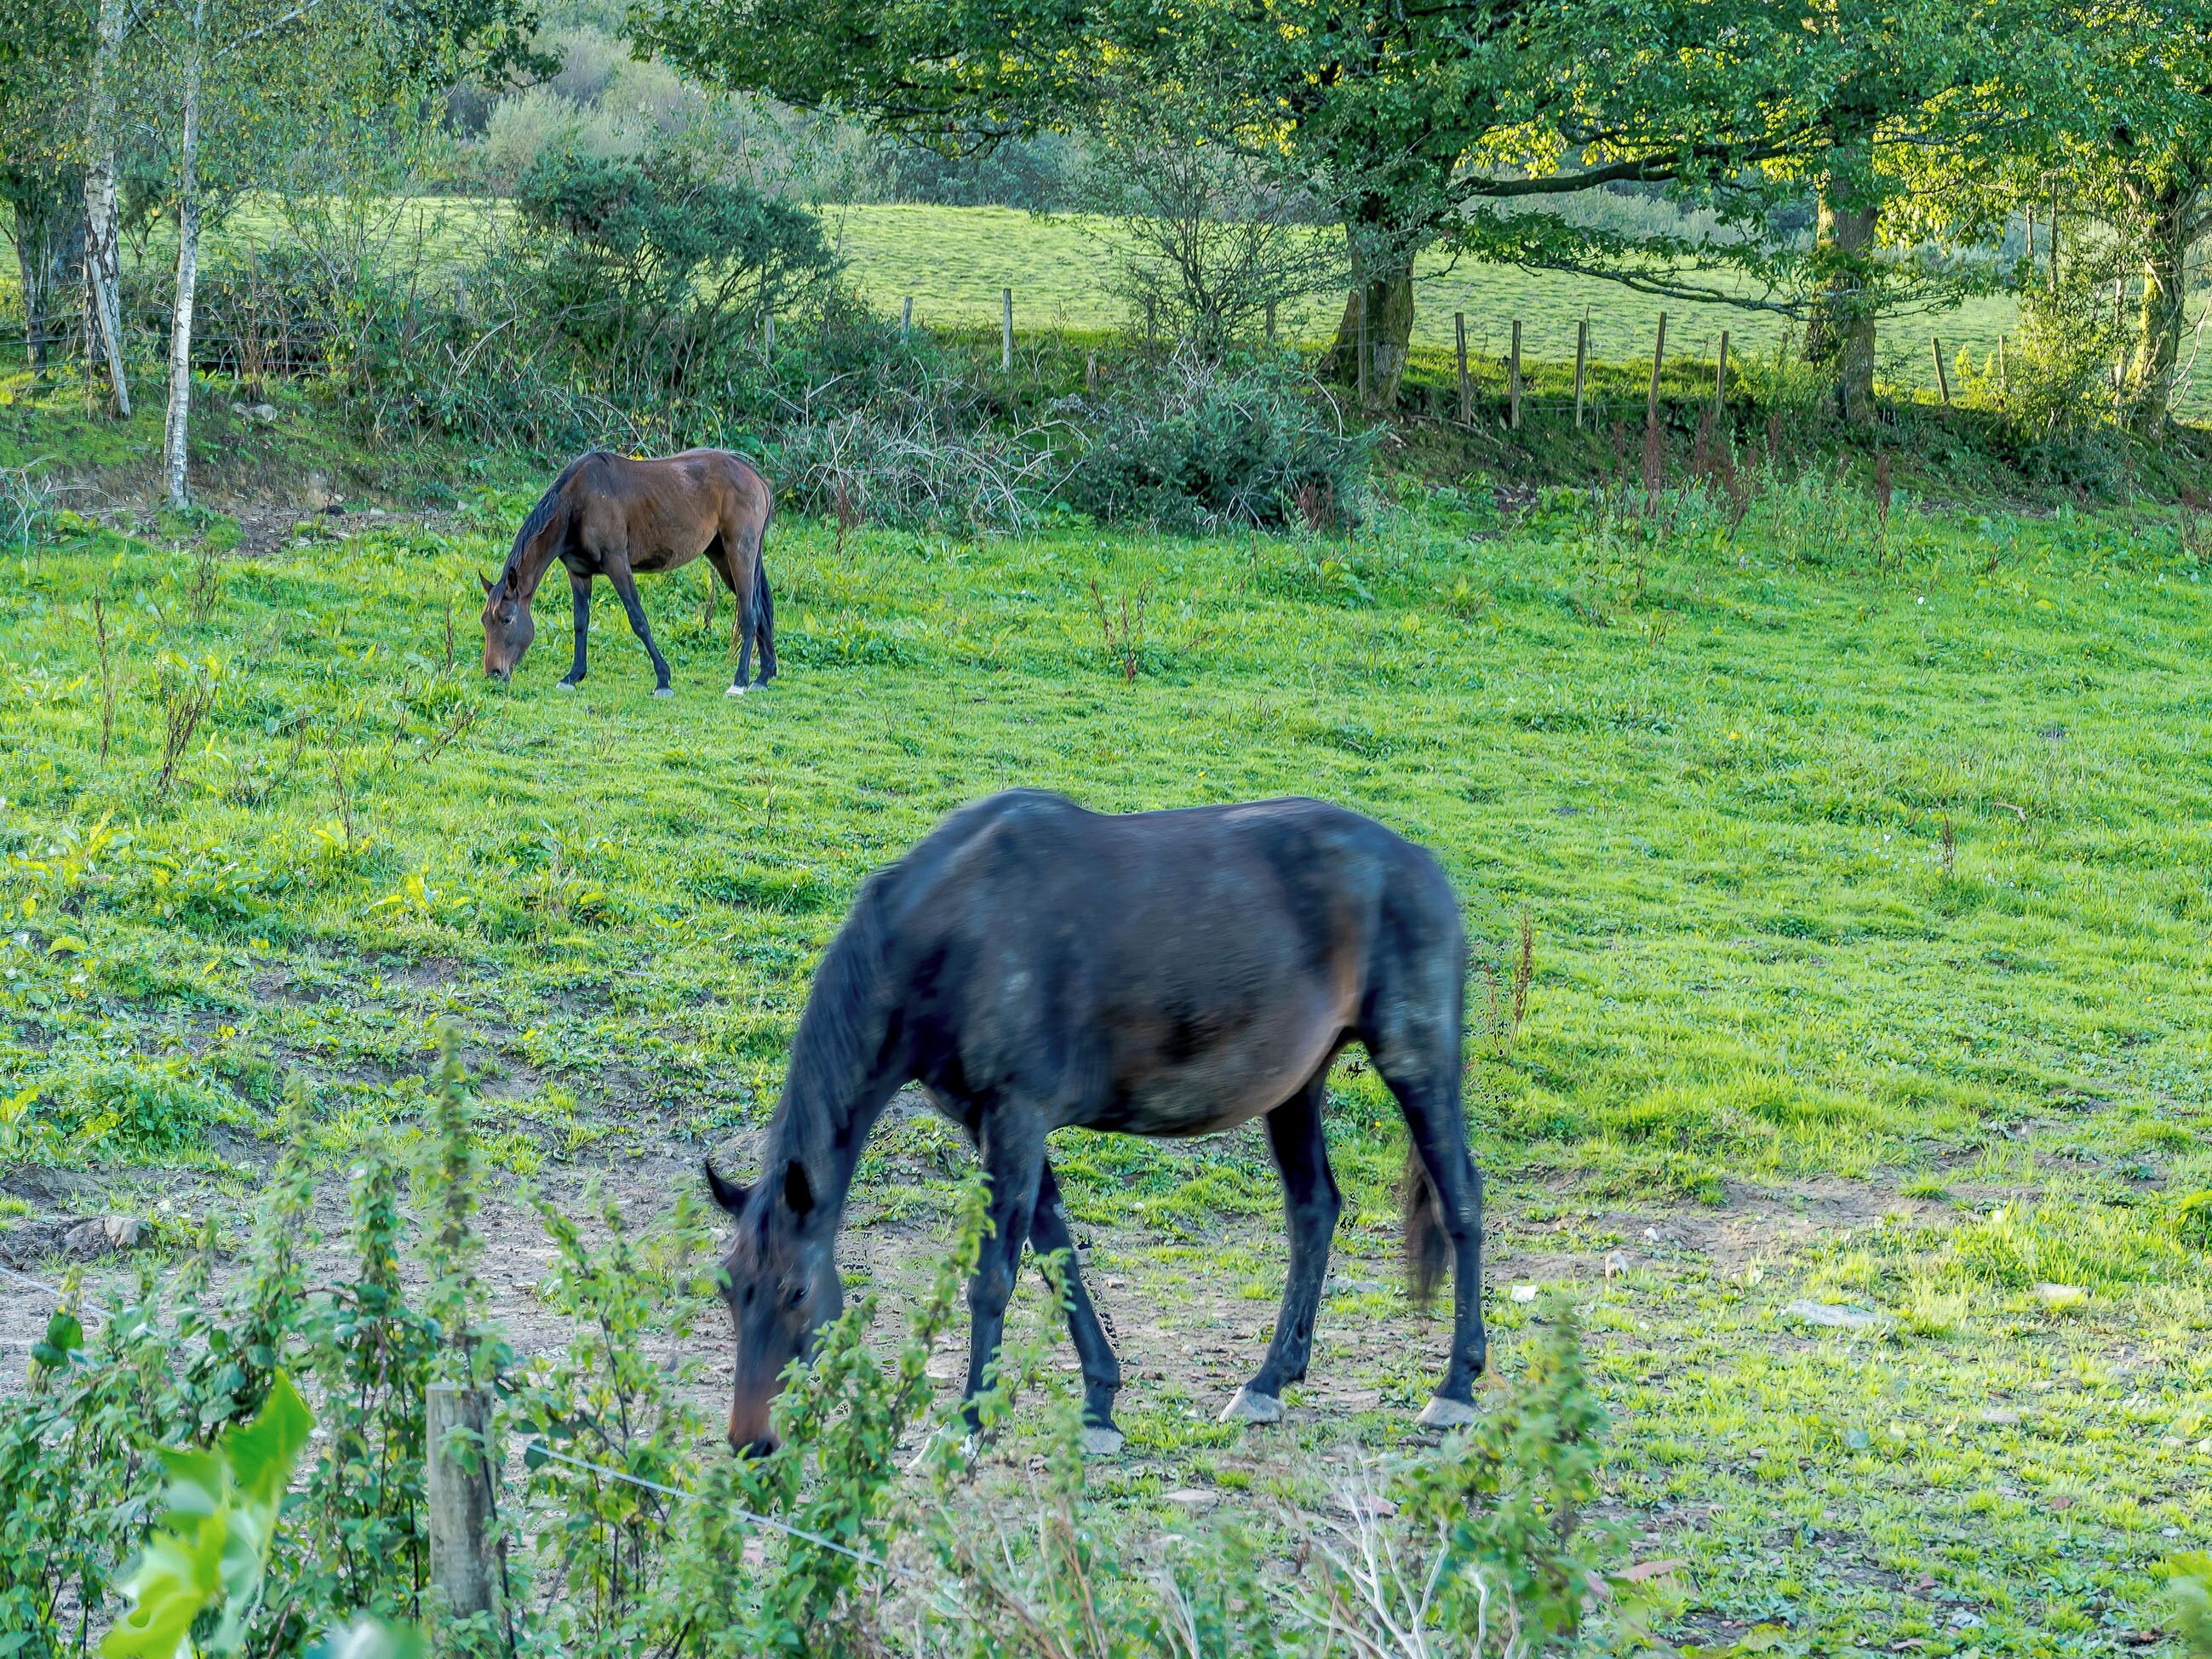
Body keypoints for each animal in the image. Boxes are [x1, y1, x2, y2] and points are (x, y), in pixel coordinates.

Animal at [480, 448, 777, 698]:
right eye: (485, 621)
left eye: (507, 619)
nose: (494, 673)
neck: (578, 502)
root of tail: (756, 478)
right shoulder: (578, 572)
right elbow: (580, 623)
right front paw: (573, 676)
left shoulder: (617, 564)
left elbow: (638, 620)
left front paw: (663, 680)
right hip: (721, 556)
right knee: (761, 610)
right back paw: (763, 677)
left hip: (740, 553)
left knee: (749, 613)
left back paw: (740, 682)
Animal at [704, 789, 1485, 1459]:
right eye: (727, 1286)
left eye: (795, 1291)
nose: (749, 1439)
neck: (956, 927)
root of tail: (1417, 862)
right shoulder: (997, 1125)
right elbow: (1058, 1258)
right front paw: (1100, 1404)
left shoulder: (1016, 1118)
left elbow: (995, 1275)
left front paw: (965, 1424)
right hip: (1296, 1088)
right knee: (1314, 1210)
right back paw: (1267, 1382)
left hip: (1416, 1060)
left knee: (1461, 1200)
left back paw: (1456, 1388)